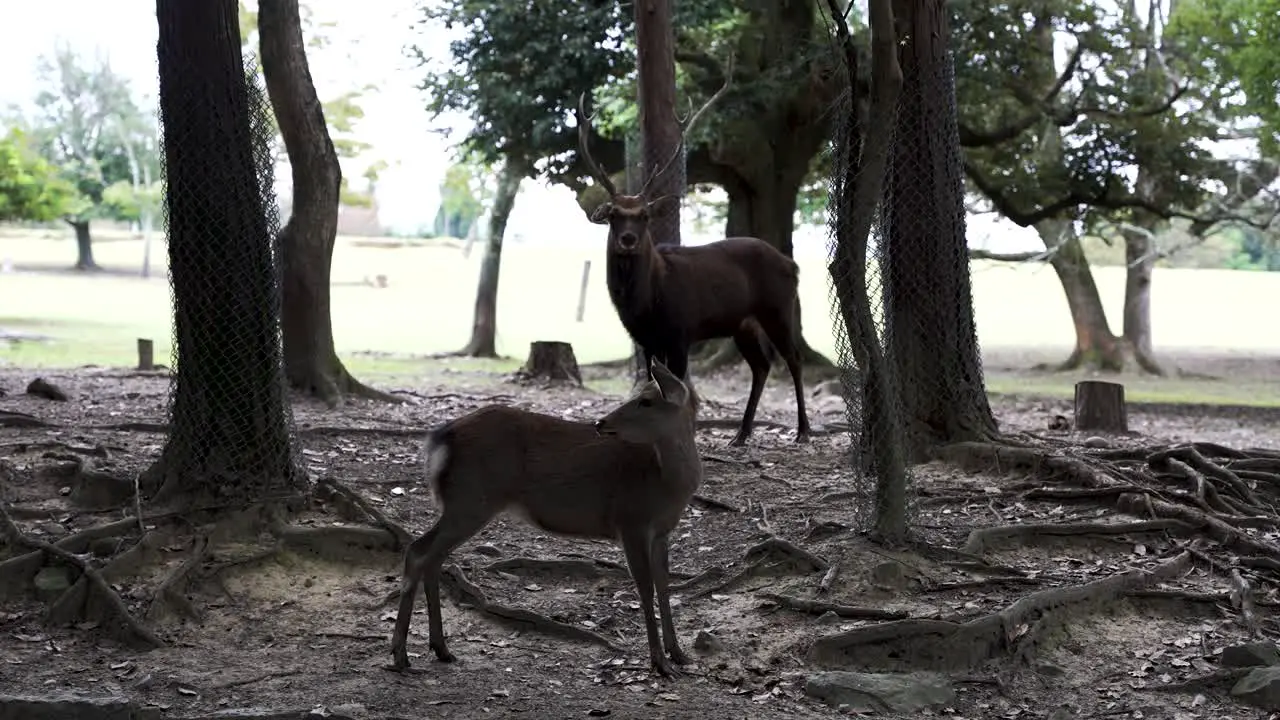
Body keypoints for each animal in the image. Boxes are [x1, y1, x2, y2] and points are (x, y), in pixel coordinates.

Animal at [389, 361, 706, 676]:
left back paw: (440, 649)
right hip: (470, 500)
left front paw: (679, 654)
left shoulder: (662, 531)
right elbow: (646, 588)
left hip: (465, 503)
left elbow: (664, 586)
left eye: (646, 400)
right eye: (638, 395)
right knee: (418, 550)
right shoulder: (630, 521)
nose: (600, 423)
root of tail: (441, 438)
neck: (666, 484)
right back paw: (401, 654)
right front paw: (660, 663)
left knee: (432, 556)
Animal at [578, 87, 808, 445]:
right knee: (761, 365)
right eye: (614, 214)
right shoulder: (646, 339)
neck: (646, 303)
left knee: (793, 359)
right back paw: (741, 434)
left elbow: (678, 386)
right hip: (742, 324)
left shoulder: (679, 332)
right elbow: (652, 382)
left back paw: (803, 432)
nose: (628, 239)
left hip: (779, 308)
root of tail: (792, 264)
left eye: (644, 215)